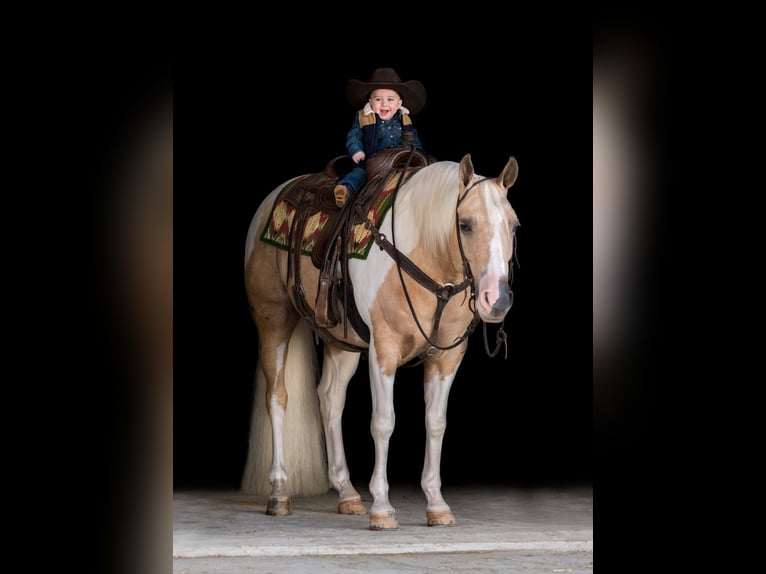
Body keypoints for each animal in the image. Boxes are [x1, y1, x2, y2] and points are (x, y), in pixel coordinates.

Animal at [246, 152, 520, 532]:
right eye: (465, 224)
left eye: (514, 226)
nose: (497, 300)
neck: (424, 256)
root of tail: (274, 198)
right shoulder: (383, 349)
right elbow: (383, 422)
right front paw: (382, 507)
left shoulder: (448, 356)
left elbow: (436, 422)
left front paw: (436, 504)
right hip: (274, 322)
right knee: (277, 398)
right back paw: (279, 493)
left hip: (342, 344)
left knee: (330, 400)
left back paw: (347, 493)